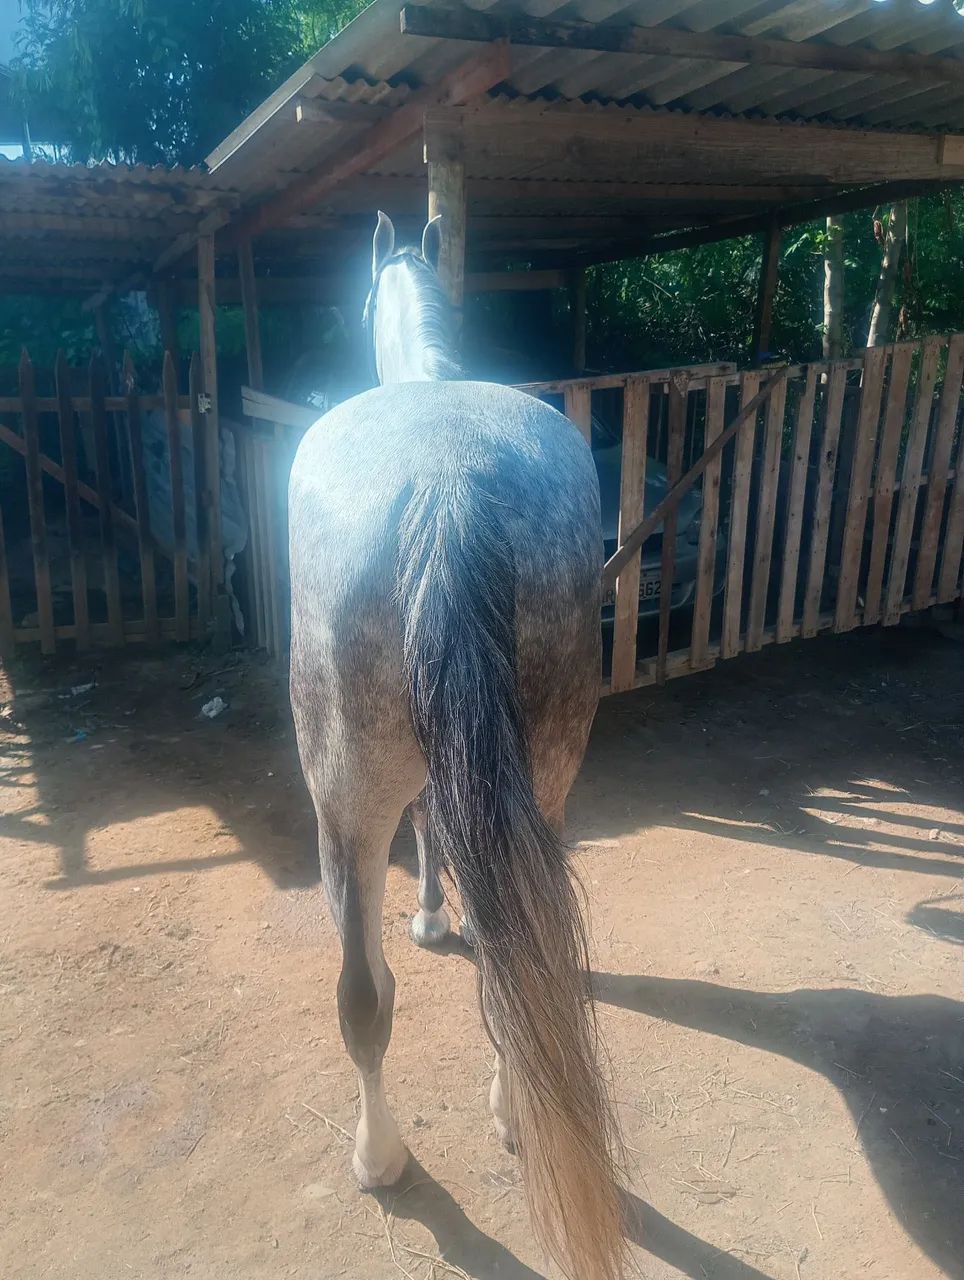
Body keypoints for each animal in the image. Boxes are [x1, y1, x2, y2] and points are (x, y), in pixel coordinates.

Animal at [287, 212, 625, 1280]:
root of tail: (447, 485)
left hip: (342, 803)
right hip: (547, 780)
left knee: (361, 1002)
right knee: (524, 956)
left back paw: (380, 1159)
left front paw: (429, 919)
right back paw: (517, 1108)